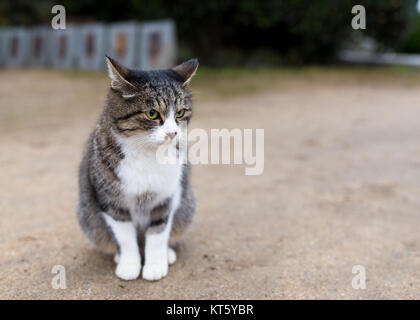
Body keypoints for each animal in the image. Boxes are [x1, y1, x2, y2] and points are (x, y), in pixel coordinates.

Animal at [77, 56, 199, 282]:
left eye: (180, 113)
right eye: (152, 114)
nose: (172, 133)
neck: (147, 155)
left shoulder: (165, 199)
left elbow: (158, 235)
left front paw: (155, 265)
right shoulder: (112, 203)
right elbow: (126, 238)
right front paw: (129, 265)